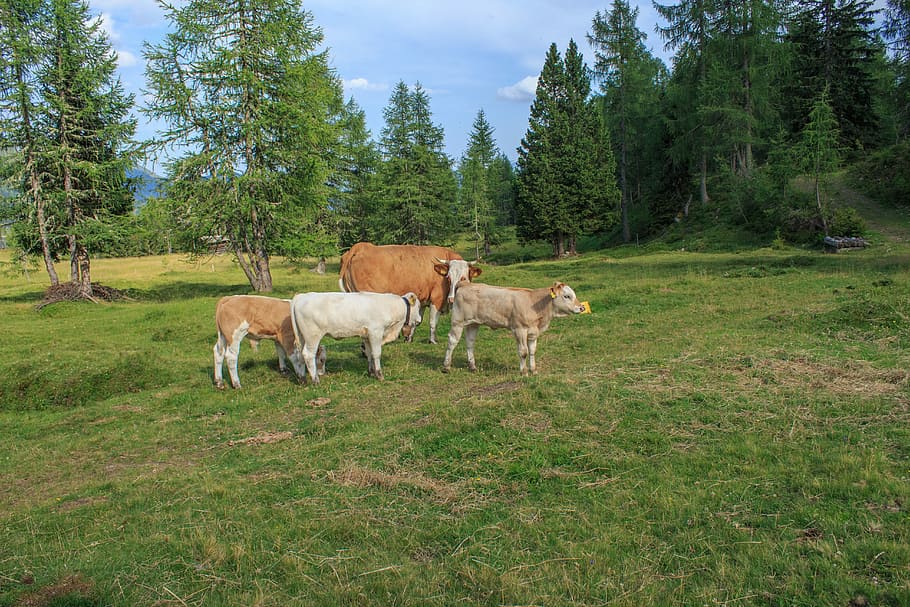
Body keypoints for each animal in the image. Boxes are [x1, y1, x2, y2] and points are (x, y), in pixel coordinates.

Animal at [290, 291, 422, 384]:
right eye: (419, 307)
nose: (420, 320)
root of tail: (301, 296)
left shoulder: (366, 336)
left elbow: (369, 354)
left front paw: (371, 372)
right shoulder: (375, 332)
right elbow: (376, 354)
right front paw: (379, 375)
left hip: (302, 337)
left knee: (299, 355)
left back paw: (302, 378)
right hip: (313, 336)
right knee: (308, 355)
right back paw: (315, 380)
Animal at [338, 242, 481, 344]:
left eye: (463, 278)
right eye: (449, 277)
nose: (451, 298)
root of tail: (361, 247)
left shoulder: (423, 300)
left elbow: (417, 320)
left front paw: (409, 338)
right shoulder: (437, 299)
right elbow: (433, 322)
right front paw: (432, 340)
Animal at [442, 281, 585, 376]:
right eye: (566, 296)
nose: (582, 307)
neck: (534, 303)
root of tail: (465, 284)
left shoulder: (533, 332)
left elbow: (532, 351)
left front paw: (533, 370)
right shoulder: (519, 329)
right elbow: (523, 352)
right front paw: (524, 372)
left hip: (473, 323)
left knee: (470, 342)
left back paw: (472, 366)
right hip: (458, 321)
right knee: (452, 341)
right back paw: (446, 367)